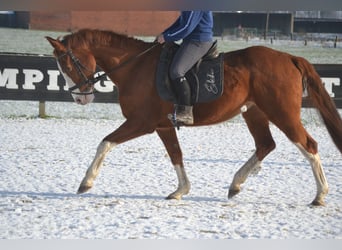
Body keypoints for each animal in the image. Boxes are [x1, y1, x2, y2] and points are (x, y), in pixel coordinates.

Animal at [46, 28, 342, 205]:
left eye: (68, 64)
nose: (80, 98)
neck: (136, 67)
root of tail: (290, 57)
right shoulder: (163, 126)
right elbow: (176, 155)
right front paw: (181, 190)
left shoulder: (141, 122)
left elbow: (105, 142)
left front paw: (86, 182)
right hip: (255, 113)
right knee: (265, 145)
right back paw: (236, 184)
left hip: (282, 113)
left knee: (309, 145)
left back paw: (320, 194)